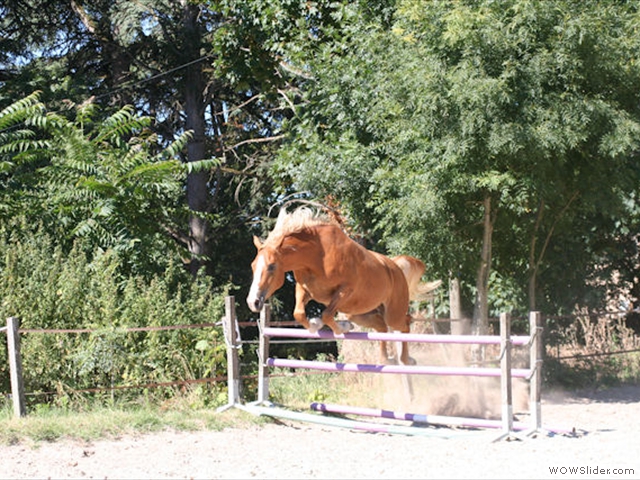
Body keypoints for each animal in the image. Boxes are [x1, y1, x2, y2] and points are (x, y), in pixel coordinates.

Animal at [248, 206, 432, 364]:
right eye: (253, 265)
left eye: (272, 266)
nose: (253, 302)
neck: (316, 257)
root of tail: (396, 267)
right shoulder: (304, 290)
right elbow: (299, 314)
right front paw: (318, 325)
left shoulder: (344, 291)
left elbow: (327, 315)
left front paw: (339, 328)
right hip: (361, 313)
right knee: (382, 327)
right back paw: (386, 359)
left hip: (393, 314)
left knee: (404, 324)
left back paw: (406, 359)